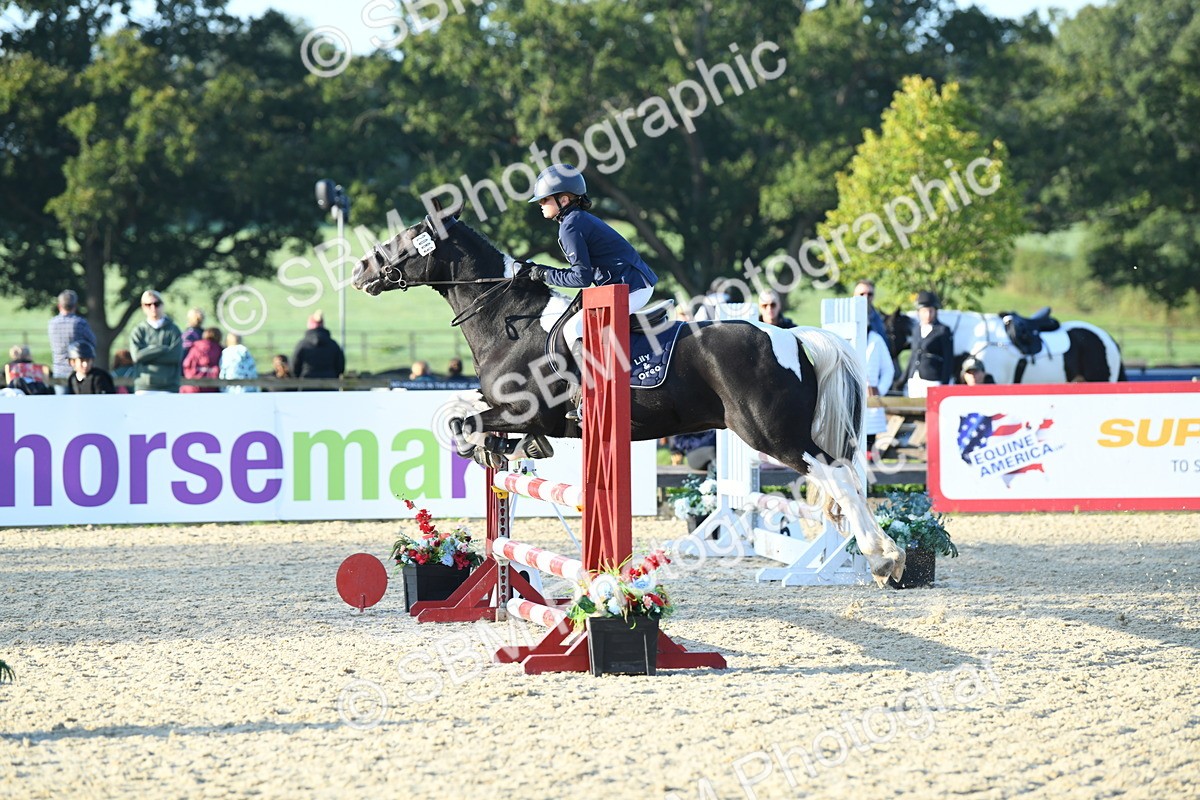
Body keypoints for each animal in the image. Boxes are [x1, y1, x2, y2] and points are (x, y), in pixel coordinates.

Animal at [351, 215, 906, 584]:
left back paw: (883, 556)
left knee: (838, 476)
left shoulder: (522, 409)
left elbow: (462, 424)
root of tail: (789, 336)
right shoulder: (515, 414)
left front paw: (487, 448)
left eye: (405, 240)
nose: (359, 271)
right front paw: (507, 452)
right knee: (843, 476)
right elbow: (472, 423)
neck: (508, 317)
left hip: (771, 434)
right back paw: (881, 555)